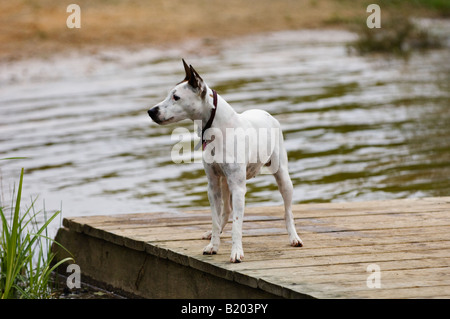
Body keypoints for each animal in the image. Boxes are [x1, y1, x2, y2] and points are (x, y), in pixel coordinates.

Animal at [149, 59, 302, 262]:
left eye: (176, 97)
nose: (151, 111)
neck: (217, 130)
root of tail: (266, 113)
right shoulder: (213, 185)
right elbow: (215, 218)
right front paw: (213, 245)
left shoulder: (238, 188)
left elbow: (237, 224)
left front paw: (236, 252)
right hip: (224, 182)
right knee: (226, 212)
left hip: (283, 178)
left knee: (288, 211)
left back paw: (294, 237)